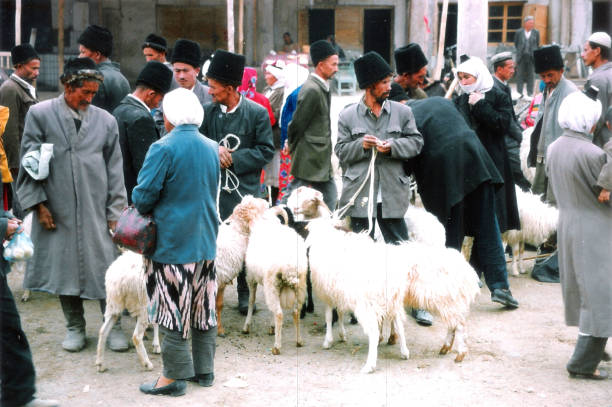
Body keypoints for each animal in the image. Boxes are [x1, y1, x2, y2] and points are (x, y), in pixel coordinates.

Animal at [214, 196, 268, 336]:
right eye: (256, 207)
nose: (266, 201)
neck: (236, 232)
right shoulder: (220, 277)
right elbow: (218, 305)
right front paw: (219, 329)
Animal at [241, 206, 308, 356]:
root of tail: (290, 265)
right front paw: (272, 327)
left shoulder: (251, 278)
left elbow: (251, 300)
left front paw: (246, 326)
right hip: (299, 286)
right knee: (296, 312)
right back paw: (299, 340)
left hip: (272, 284)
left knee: (279, 313)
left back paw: (277, 346)